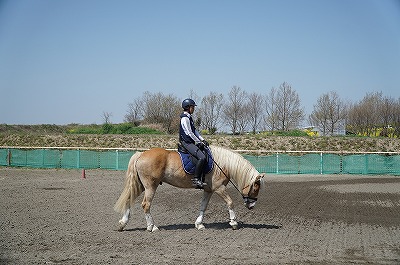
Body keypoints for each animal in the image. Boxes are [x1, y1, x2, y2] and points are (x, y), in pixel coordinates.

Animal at [113, 144, 262, 231]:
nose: (252, 206)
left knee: (129, 199)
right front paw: (234, 223)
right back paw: (152, 227)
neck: (222, 163)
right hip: (150, 186)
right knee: (146, 204)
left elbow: (203, 206)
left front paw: (199, 224)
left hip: (140, 185)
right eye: (256, 188)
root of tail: (141, 154)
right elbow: (230, 202)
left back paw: (122, 224)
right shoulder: (219, 188)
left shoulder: (208, 190)